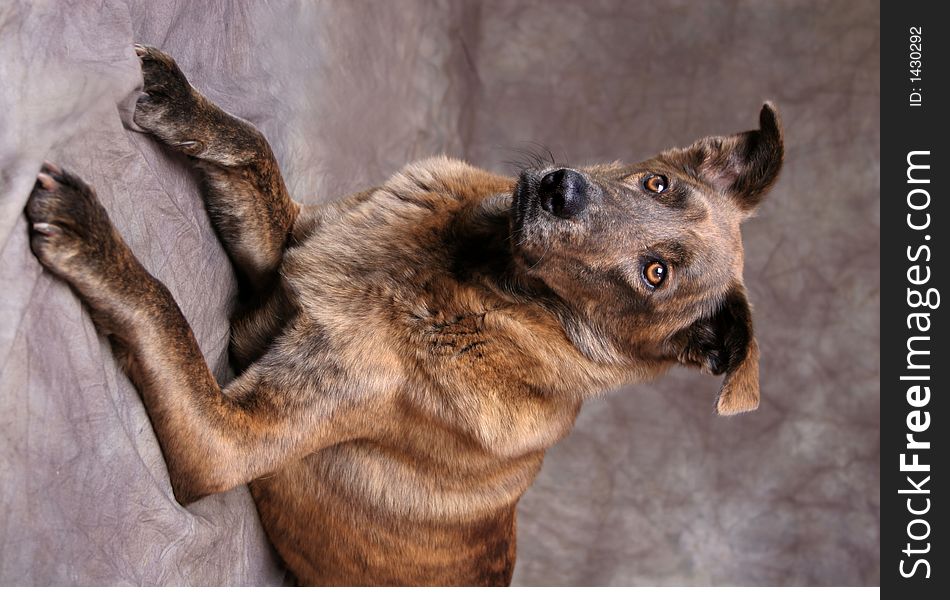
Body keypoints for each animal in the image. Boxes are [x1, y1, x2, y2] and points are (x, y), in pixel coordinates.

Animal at [26, 43, 788, 584]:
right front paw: (181, 103)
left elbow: (167, 316)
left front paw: (90, 238)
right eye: (657, 183)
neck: (474, 281)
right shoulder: (284, 256)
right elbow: (253, 152)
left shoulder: (225, 441)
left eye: (655, 275)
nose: (560, 190)